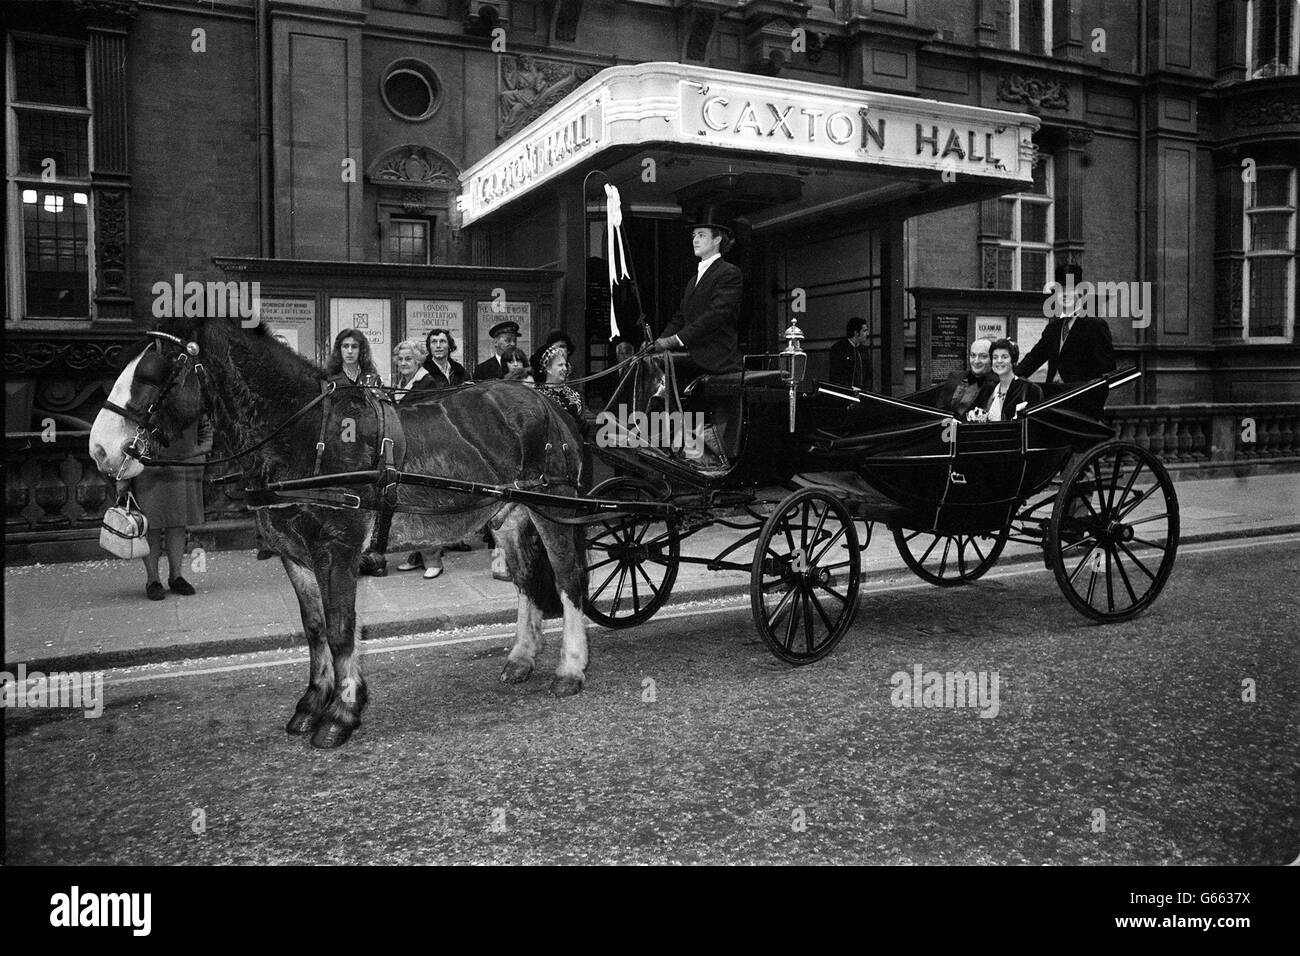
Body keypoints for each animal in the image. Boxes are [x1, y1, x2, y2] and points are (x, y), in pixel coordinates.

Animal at [90, 317, 595, 749]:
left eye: (153, 373)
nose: (99, 449)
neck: (304, 434)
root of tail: (546, 399)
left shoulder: (338, 547)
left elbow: (340, 630)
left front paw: (342, 712)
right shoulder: (295, 554)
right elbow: (314, 629)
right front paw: (312, 704)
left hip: (554, 504)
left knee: (568, 580)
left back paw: (570, 668)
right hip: (509, 513)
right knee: (527, 582)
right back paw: (521, 659)